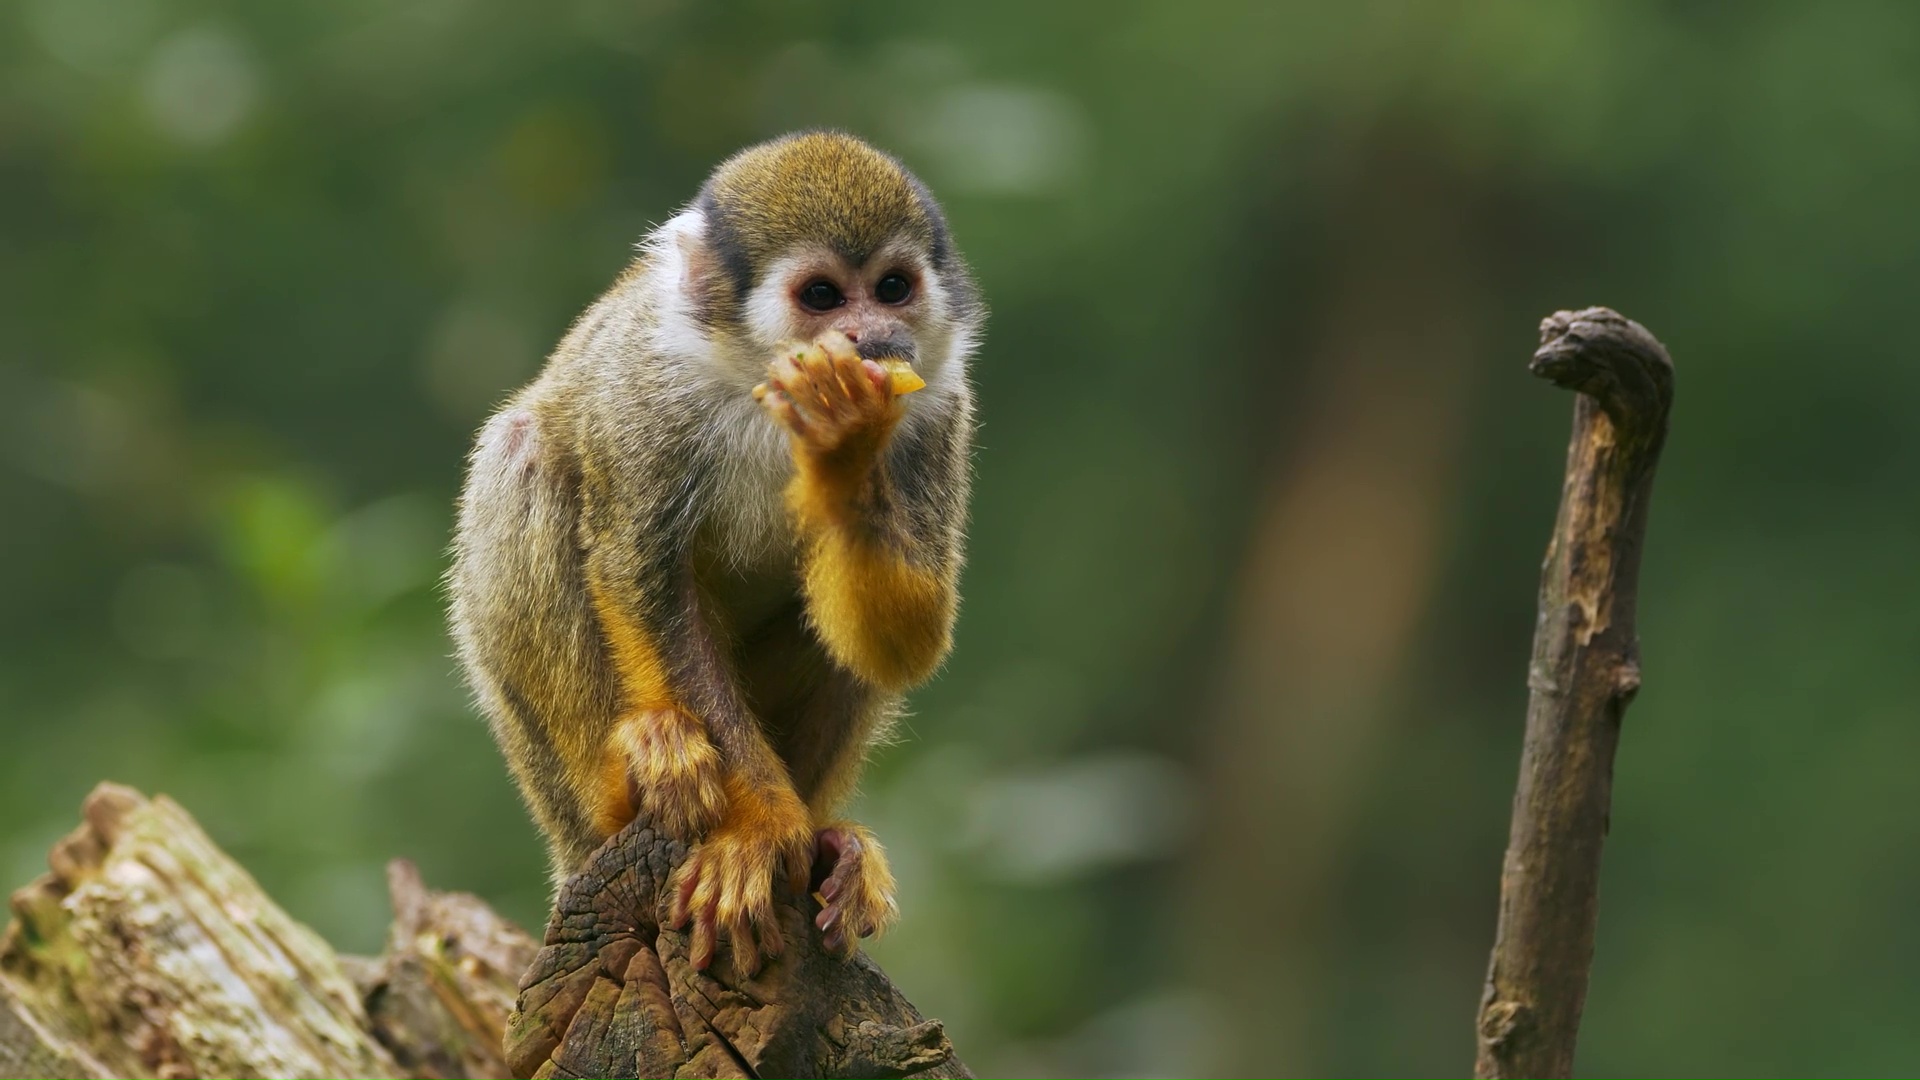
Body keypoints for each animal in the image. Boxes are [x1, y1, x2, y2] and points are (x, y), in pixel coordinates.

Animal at [447, 131, 980, 974]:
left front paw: (844, 445)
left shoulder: (938, 402)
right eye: (823, 297)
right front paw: (757, 828)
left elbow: (903, 639)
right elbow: (640, 571)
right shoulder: (651, 380)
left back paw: (830, 842)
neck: (759, 375)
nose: (873, 337)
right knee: (523, 454)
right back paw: (624, 784)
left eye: (893, 288)